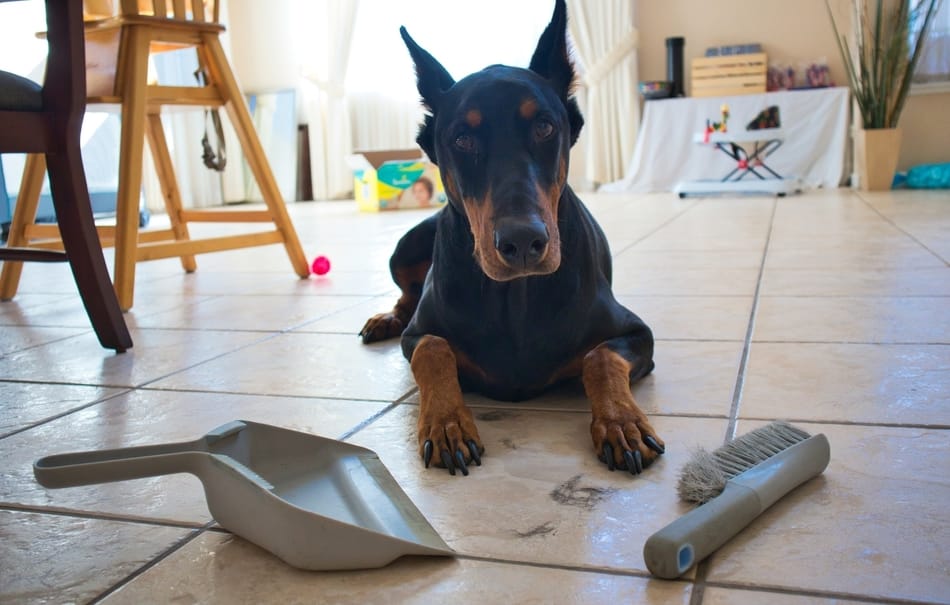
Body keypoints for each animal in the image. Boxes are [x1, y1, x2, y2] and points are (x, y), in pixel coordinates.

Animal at [360, 0, 664, 476]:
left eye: (544, 126)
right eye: (461, 138)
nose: (522, 242)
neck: (516, 296)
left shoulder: (637, 333)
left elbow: (598, 357)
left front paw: (621, 422)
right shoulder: (420, 335)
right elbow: (432, 347)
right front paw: (447, 423)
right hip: (404, 247)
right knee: (407, 295)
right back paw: (387, 318)